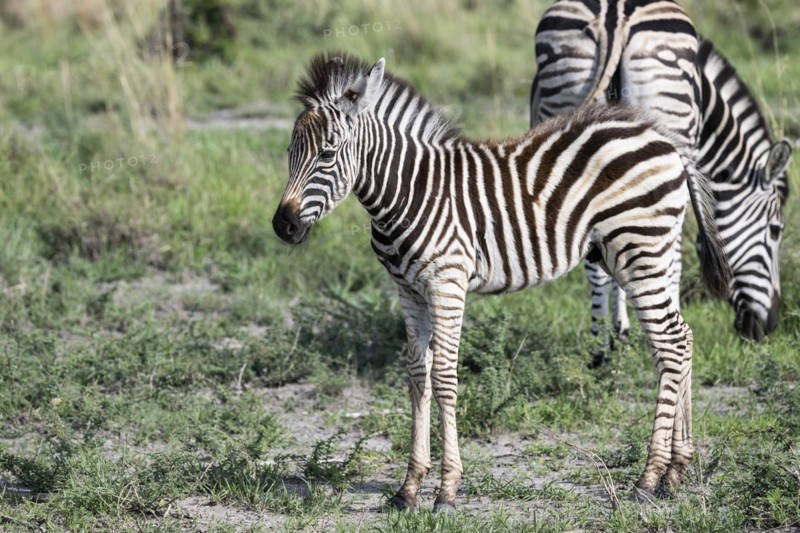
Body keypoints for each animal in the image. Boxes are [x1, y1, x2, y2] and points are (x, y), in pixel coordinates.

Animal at [273, 52, 732, 509]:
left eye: (328, 154)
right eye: (291, 152)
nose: (283, 226)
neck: (407, 193)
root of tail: (664, 138)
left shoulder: (447, 284)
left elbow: (444, 376)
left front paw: (447, 489)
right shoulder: (408, 290)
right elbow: (417, 377)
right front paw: (408, 488)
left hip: (639, 252)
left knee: (670, 345)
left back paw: (648, 478)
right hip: (656, 255)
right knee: (679, 341)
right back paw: (675, 471)